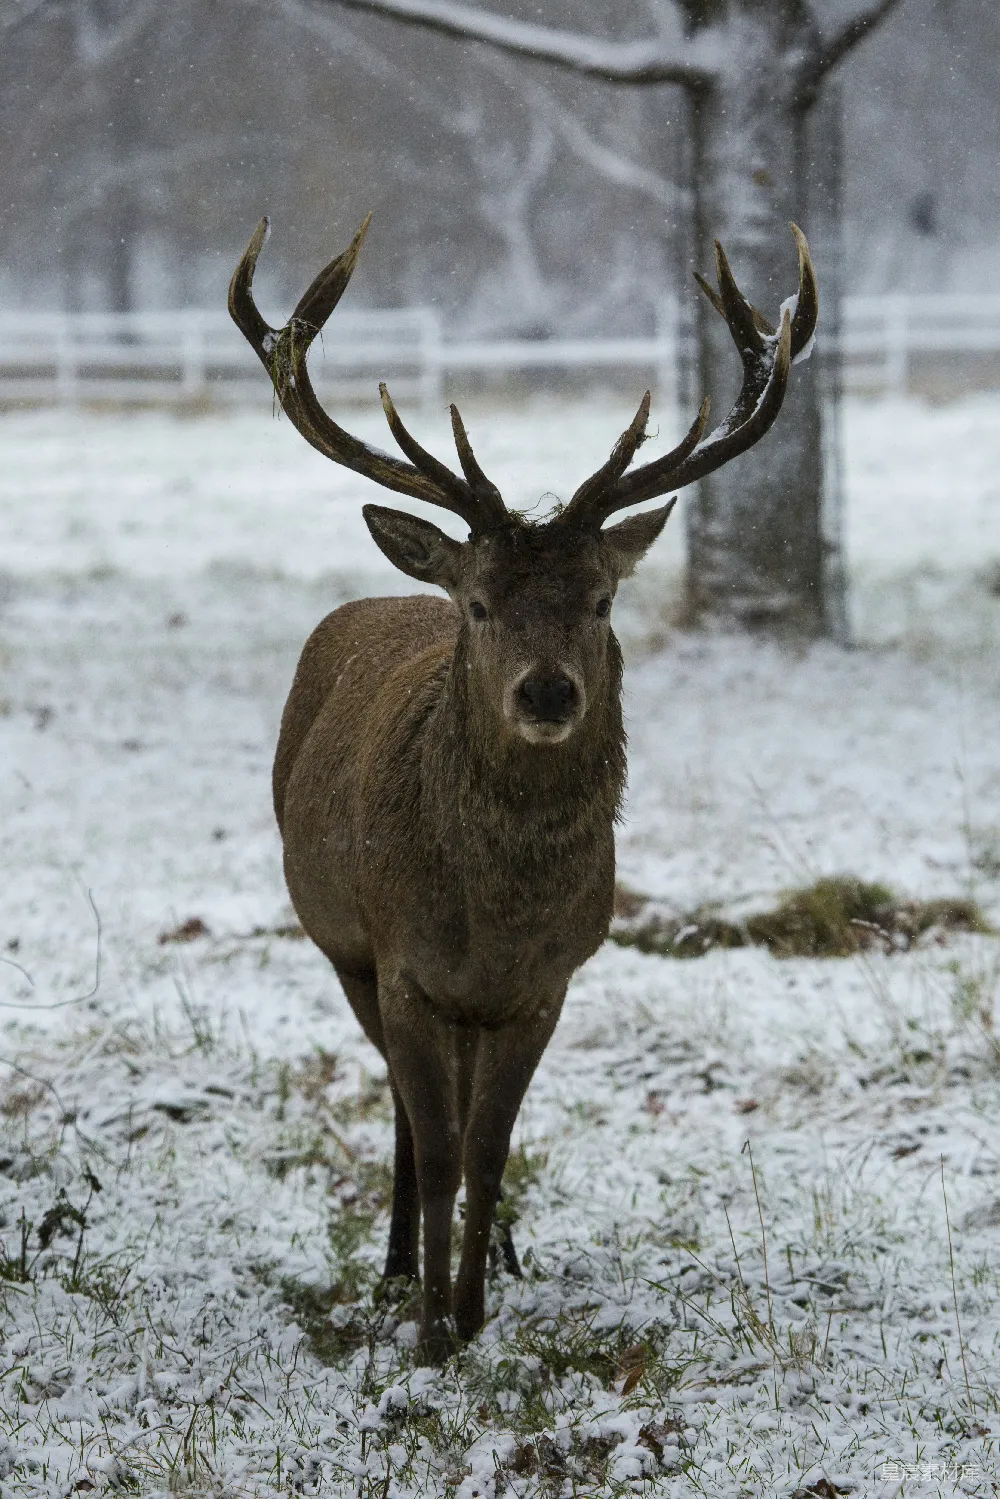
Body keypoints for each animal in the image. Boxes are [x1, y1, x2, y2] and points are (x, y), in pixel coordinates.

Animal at [229, 214, 817, 1362]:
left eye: (600, 597)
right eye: (482, 601)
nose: (547, 690)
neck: (492, 922)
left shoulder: (549, 982)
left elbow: (492, 1149)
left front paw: (474, 1309)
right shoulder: (402, 963)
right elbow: (440, 1144)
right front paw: (429, 1330)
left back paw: (495, 1255)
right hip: (341, 946)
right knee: (407, 1113)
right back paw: (396, 1264)